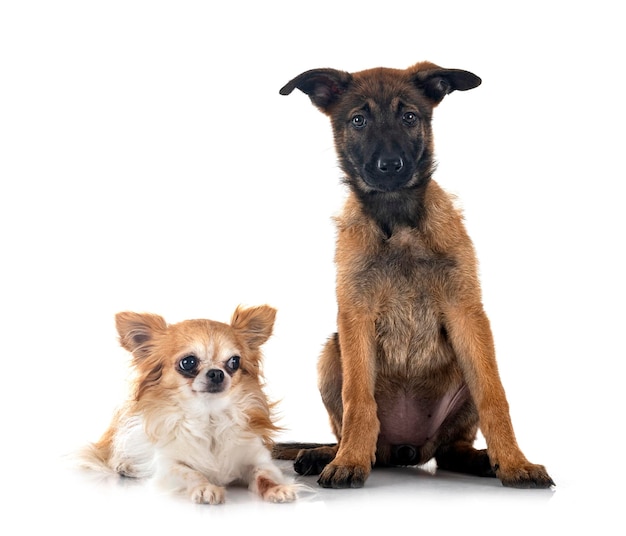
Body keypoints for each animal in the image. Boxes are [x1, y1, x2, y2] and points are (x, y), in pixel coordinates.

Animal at [272, 61, 552, 490]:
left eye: (409, 117)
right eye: (358, 120)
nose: (390, 165)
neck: (398, 222)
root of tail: (406, 450)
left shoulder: (466, 312)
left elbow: (495, 396)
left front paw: (515, 462)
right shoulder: (354, 315)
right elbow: (359, 399)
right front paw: (348, 461)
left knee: (452, 449)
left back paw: (483, 460)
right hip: (331, 355)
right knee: (353, 430)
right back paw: (325, 454)